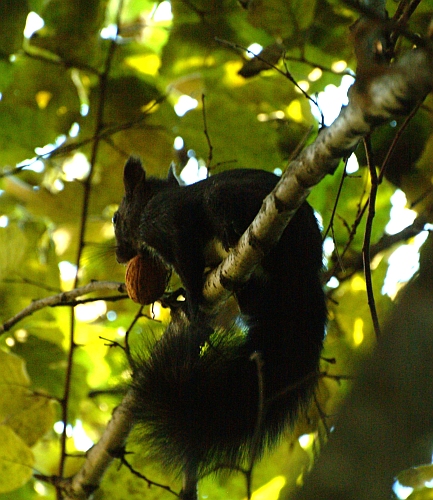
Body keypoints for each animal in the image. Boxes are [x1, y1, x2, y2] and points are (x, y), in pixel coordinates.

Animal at [113, 156, 326, 476]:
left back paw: (233, 234)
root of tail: (309, 271)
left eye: (115, 218)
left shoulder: (170, 223)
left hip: (229, 201)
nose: (118, 255)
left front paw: (190, 299)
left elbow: (187, 263)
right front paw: (178, 298)